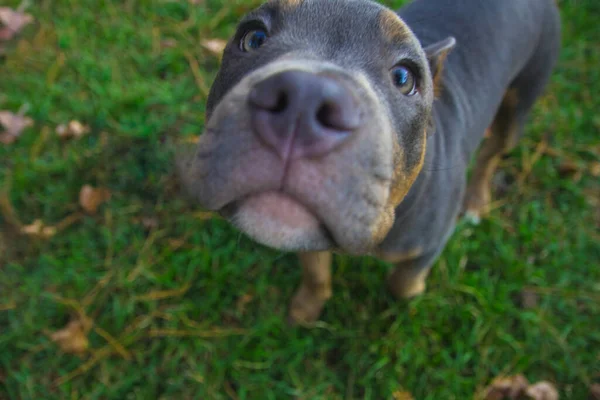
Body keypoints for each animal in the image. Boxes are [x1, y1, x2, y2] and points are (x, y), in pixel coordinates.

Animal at [179, 0, 564, 324]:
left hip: (521, 101)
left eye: (405, 78)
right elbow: (315, 272)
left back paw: (476, 200)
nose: (304, 97)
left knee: (493, 152)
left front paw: (406, 302)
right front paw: (305, 308)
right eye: (253, 37)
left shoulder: (428, 246)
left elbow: (403, 283)